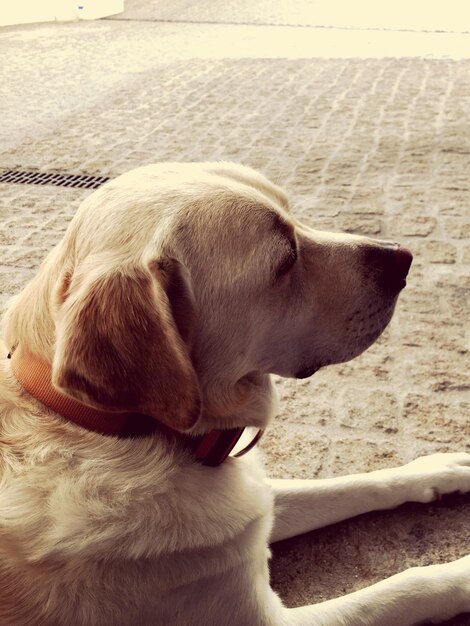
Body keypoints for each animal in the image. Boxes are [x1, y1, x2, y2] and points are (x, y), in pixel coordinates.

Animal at [0, 162, 468, 624]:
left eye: (293, 215)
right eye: (286, 259)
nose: (403, 256)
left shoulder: (254, 508)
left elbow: (352, 483)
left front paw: (441, 469)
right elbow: (407, 586)